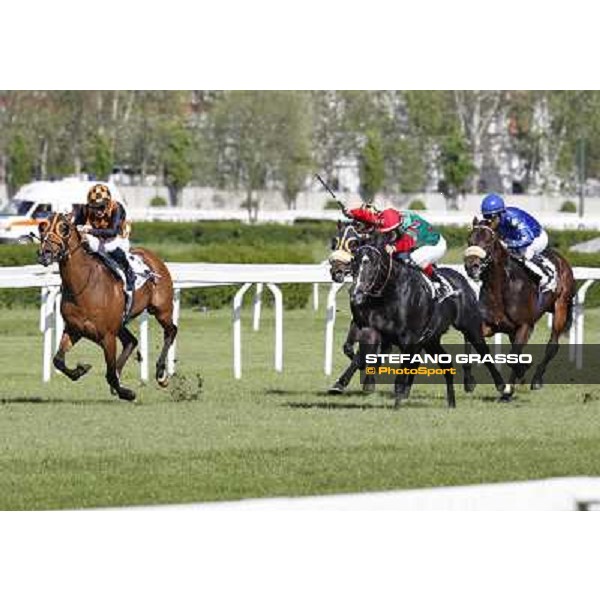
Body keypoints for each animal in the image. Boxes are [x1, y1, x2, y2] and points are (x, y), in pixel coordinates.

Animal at [36, 213, 177, 400]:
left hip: (162, 310)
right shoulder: (74, 329)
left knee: (171, 331)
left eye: (64, 228)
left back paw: (161, 374)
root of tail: (153, 256)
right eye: (42, 227)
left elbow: (109, 372)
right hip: (121, 323)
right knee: (131, 341)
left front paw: (127, 393)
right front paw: (81, 369)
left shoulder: (107, 336)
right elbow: (58, 360)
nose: (45, 253)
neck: (83, 286)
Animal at [332, 236, 510, 408]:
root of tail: (463, 281)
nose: (356, 294)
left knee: (484, 352)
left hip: (470, 326)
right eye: (354, 262)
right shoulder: (371, 329)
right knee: (447, 364)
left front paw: (396, 404)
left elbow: (399, 375)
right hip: (431, 339)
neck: (389, 294)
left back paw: (502, 387)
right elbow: (360, 353)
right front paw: (350, 383)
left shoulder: (409, 340)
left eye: (373, 264)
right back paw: (451, 403)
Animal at [462, 218, 576, 392]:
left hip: (561, 306)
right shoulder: (490, 324)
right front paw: (471, 381)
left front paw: (516, 377)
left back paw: (536, 380)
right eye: (470, 241)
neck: (501, 288)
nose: (471, 266)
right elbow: (477, 348)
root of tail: (560, 258)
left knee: (552, 345)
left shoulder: (525, 325)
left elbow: (512, 357)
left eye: (488, 242)